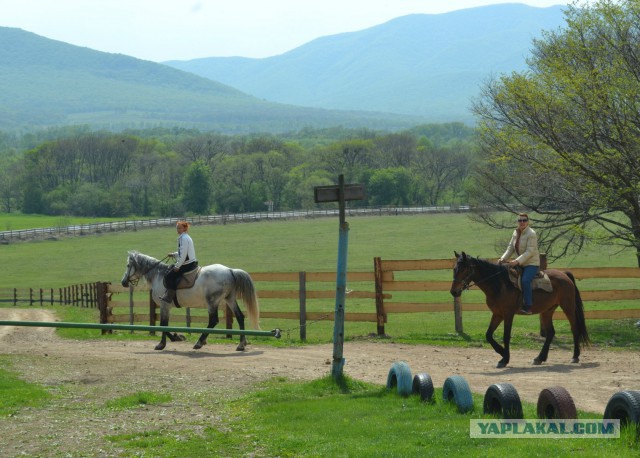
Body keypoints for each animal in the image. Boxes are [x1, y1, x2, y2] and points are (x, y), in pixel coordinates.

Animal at [450, 250, 592, 368]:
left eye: (464, 269)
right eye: (455, 268)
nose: (454, 292)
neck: (500, 284)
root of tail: (564, 274)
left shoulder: (508, 314)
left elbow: (506, 336)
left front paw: (504, 359)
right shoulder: (497, 314)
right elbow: (488, 335)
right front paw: (502, 353)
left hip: (568, 307)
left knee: (575, 328)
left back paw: (575, 356)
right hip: (547, 311)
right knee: (551, 333)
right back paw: (539, 358)